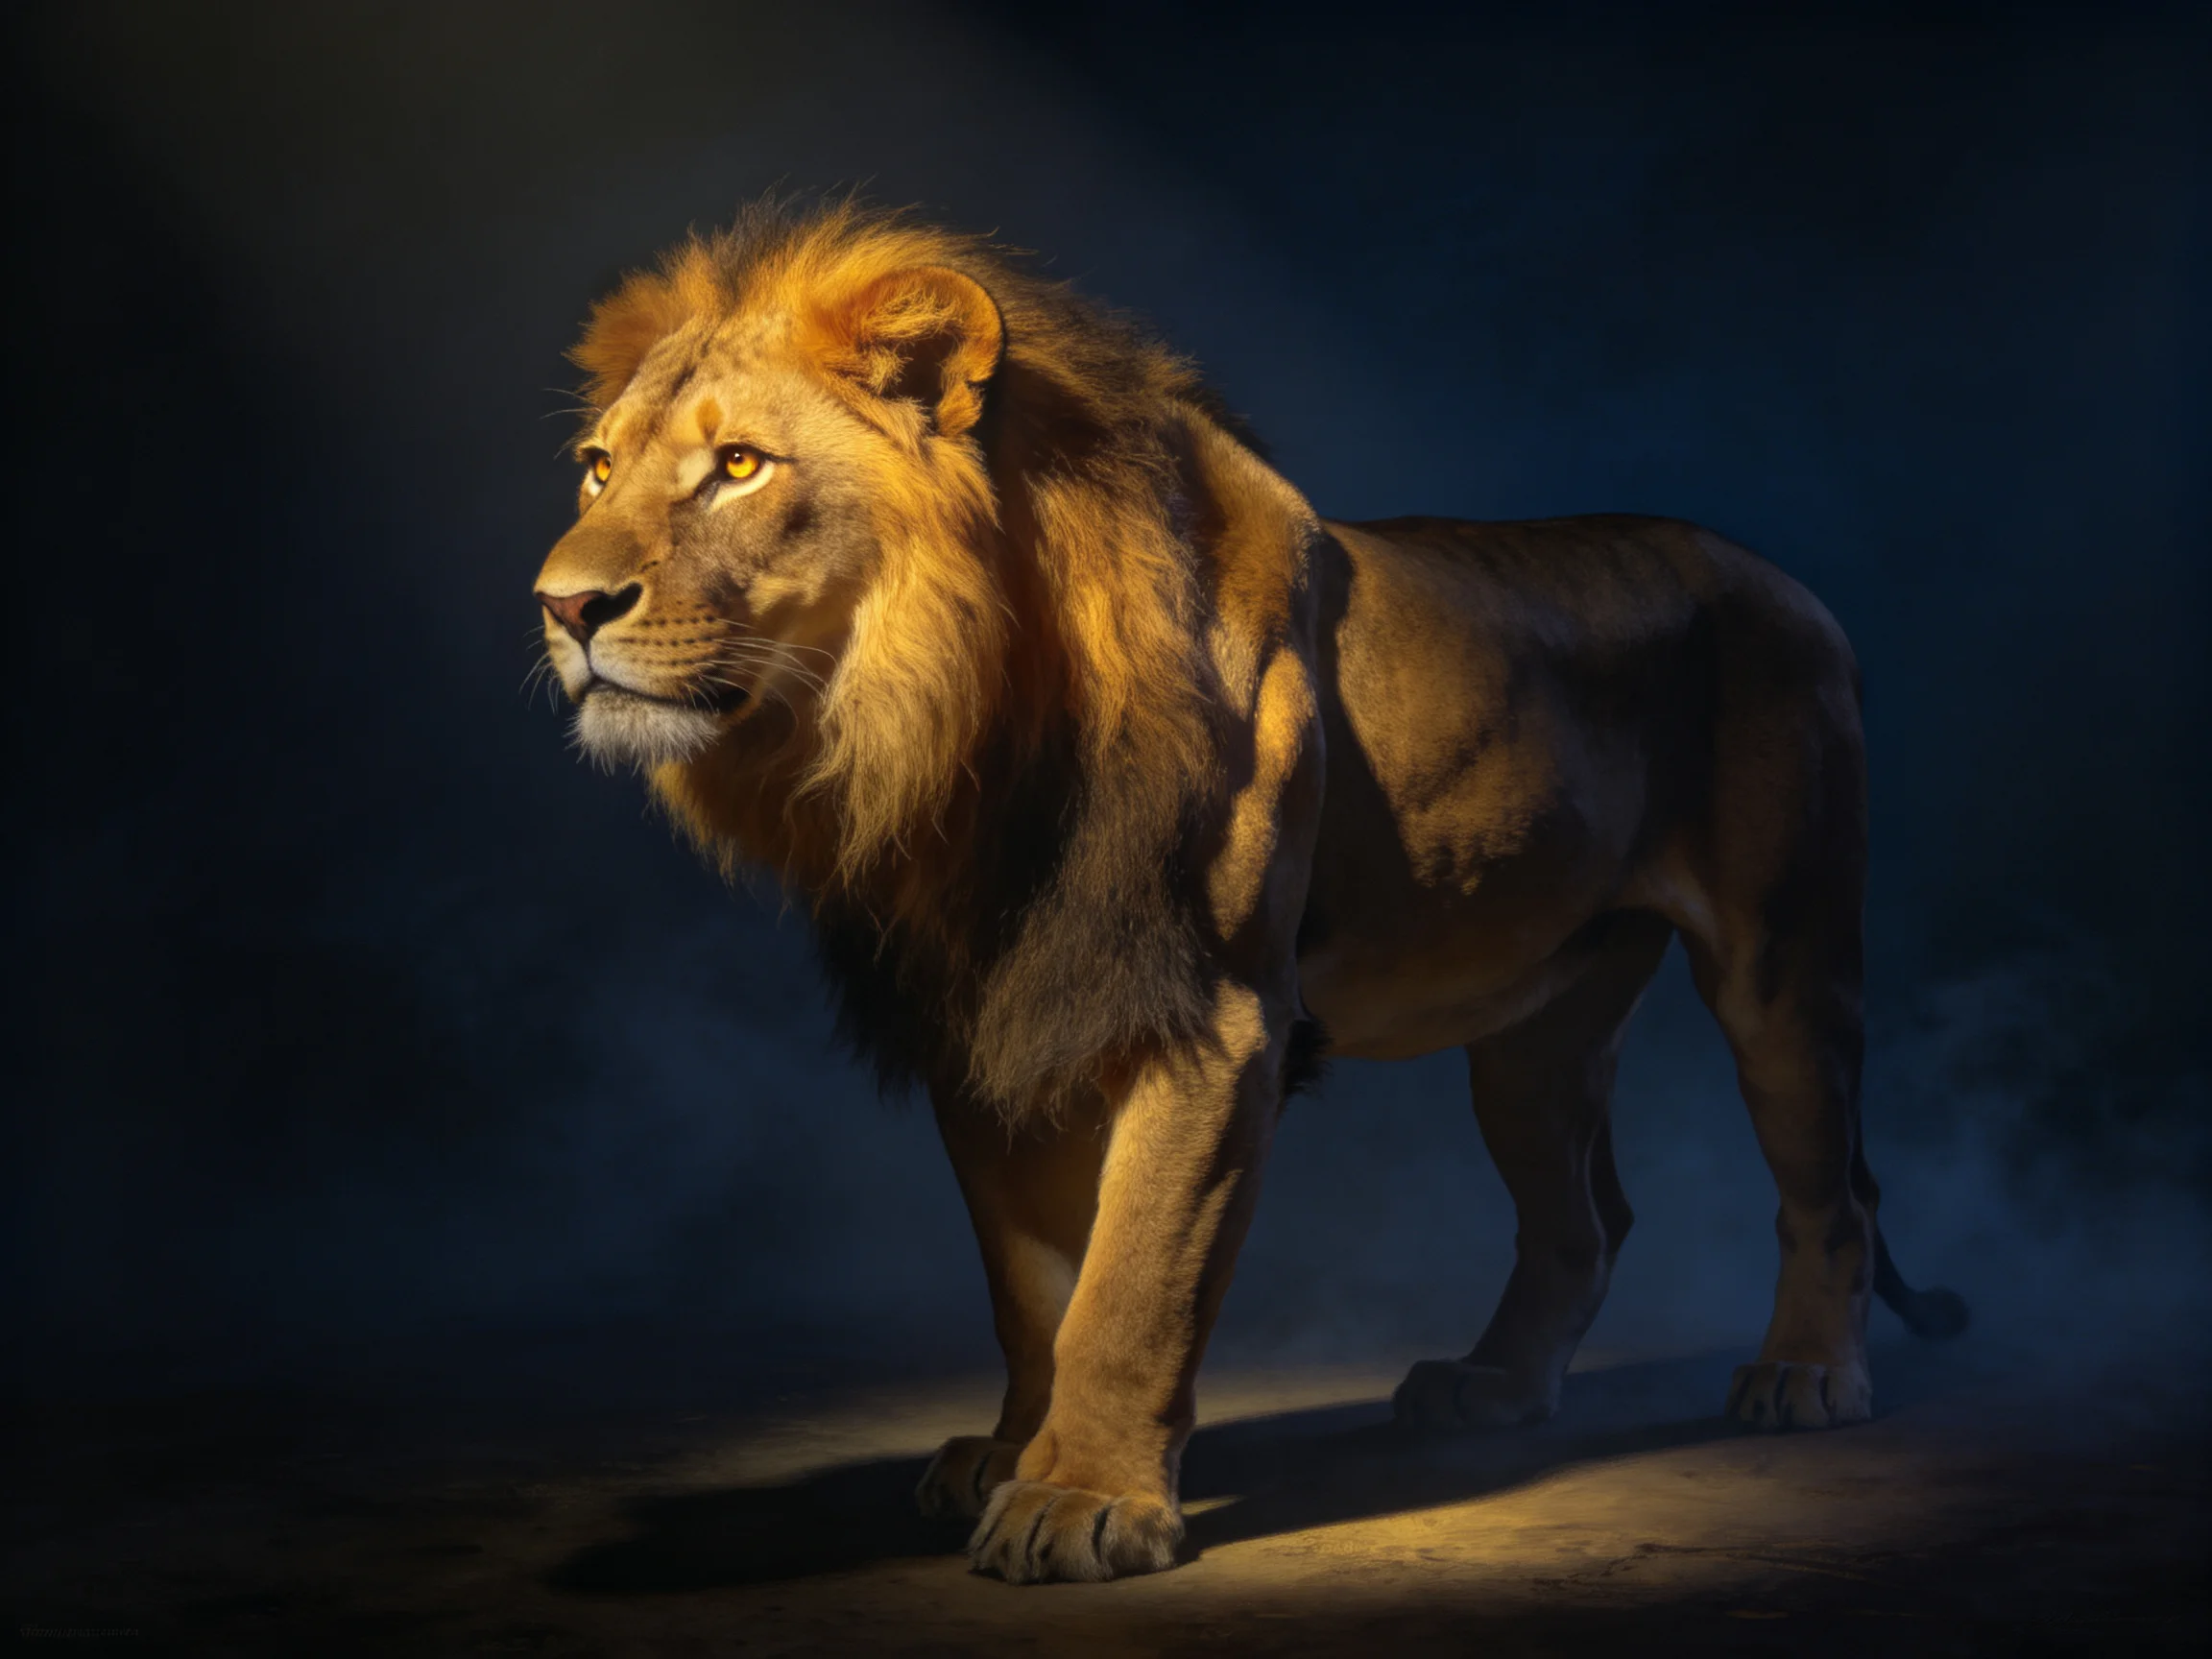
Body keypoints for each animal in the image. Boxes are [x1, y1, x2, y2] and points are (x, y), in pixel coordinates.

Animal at [531, 199, 1967, 1584]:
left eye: (739, 466)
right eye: (598, 467)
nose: (563, 606)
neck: (958, 724)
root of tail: (1783, 578)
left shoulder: (1211, 1019)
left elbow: (1131, 1284)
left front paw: (1081, 1499)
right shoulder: (984, 1022)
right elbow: (1032, 1286)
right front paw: (1010, 1453)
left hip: (1783, 967)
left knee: (1828, 1192)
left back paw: (1804, 1375)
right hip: (1534, 1033)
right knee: (1589, 1220)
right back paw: (1494, 1388)